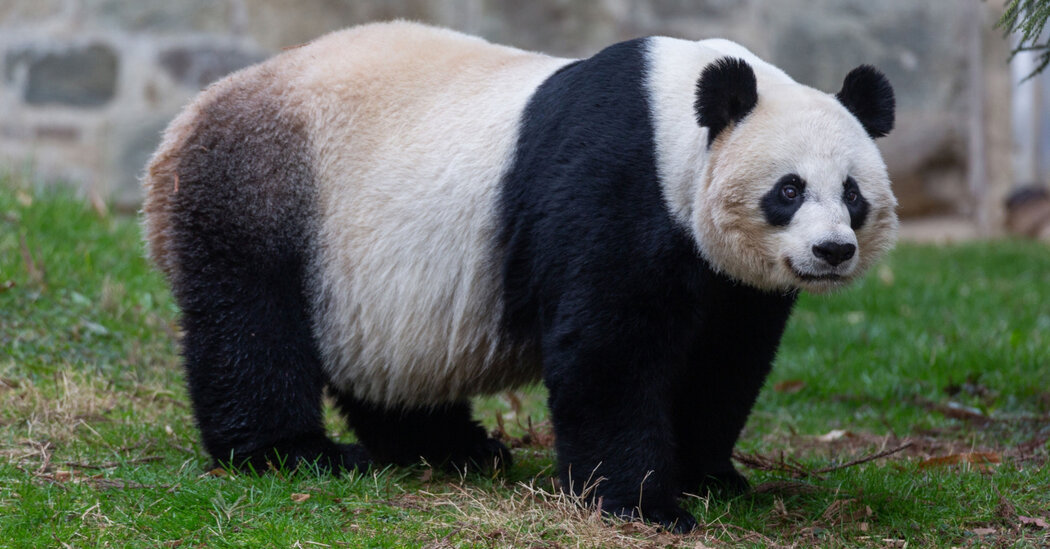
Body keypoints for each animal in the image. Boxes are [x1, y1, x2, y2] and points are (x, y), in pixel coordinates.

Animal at [142, 21, 897, 532]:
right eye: (788, 190)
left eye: (853, 193)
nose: (832, 251)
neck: (679, 124)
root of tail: (180, 129)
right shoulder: (615, 186)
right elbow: (608, 350)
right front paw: (643, 504)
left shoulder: (729, 282)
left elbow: (724, 360)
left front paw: (710, 475)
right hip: (260, 193)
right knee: (250, 326)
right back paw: (297, 453)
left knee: (381, 366)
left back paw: (454, 449)